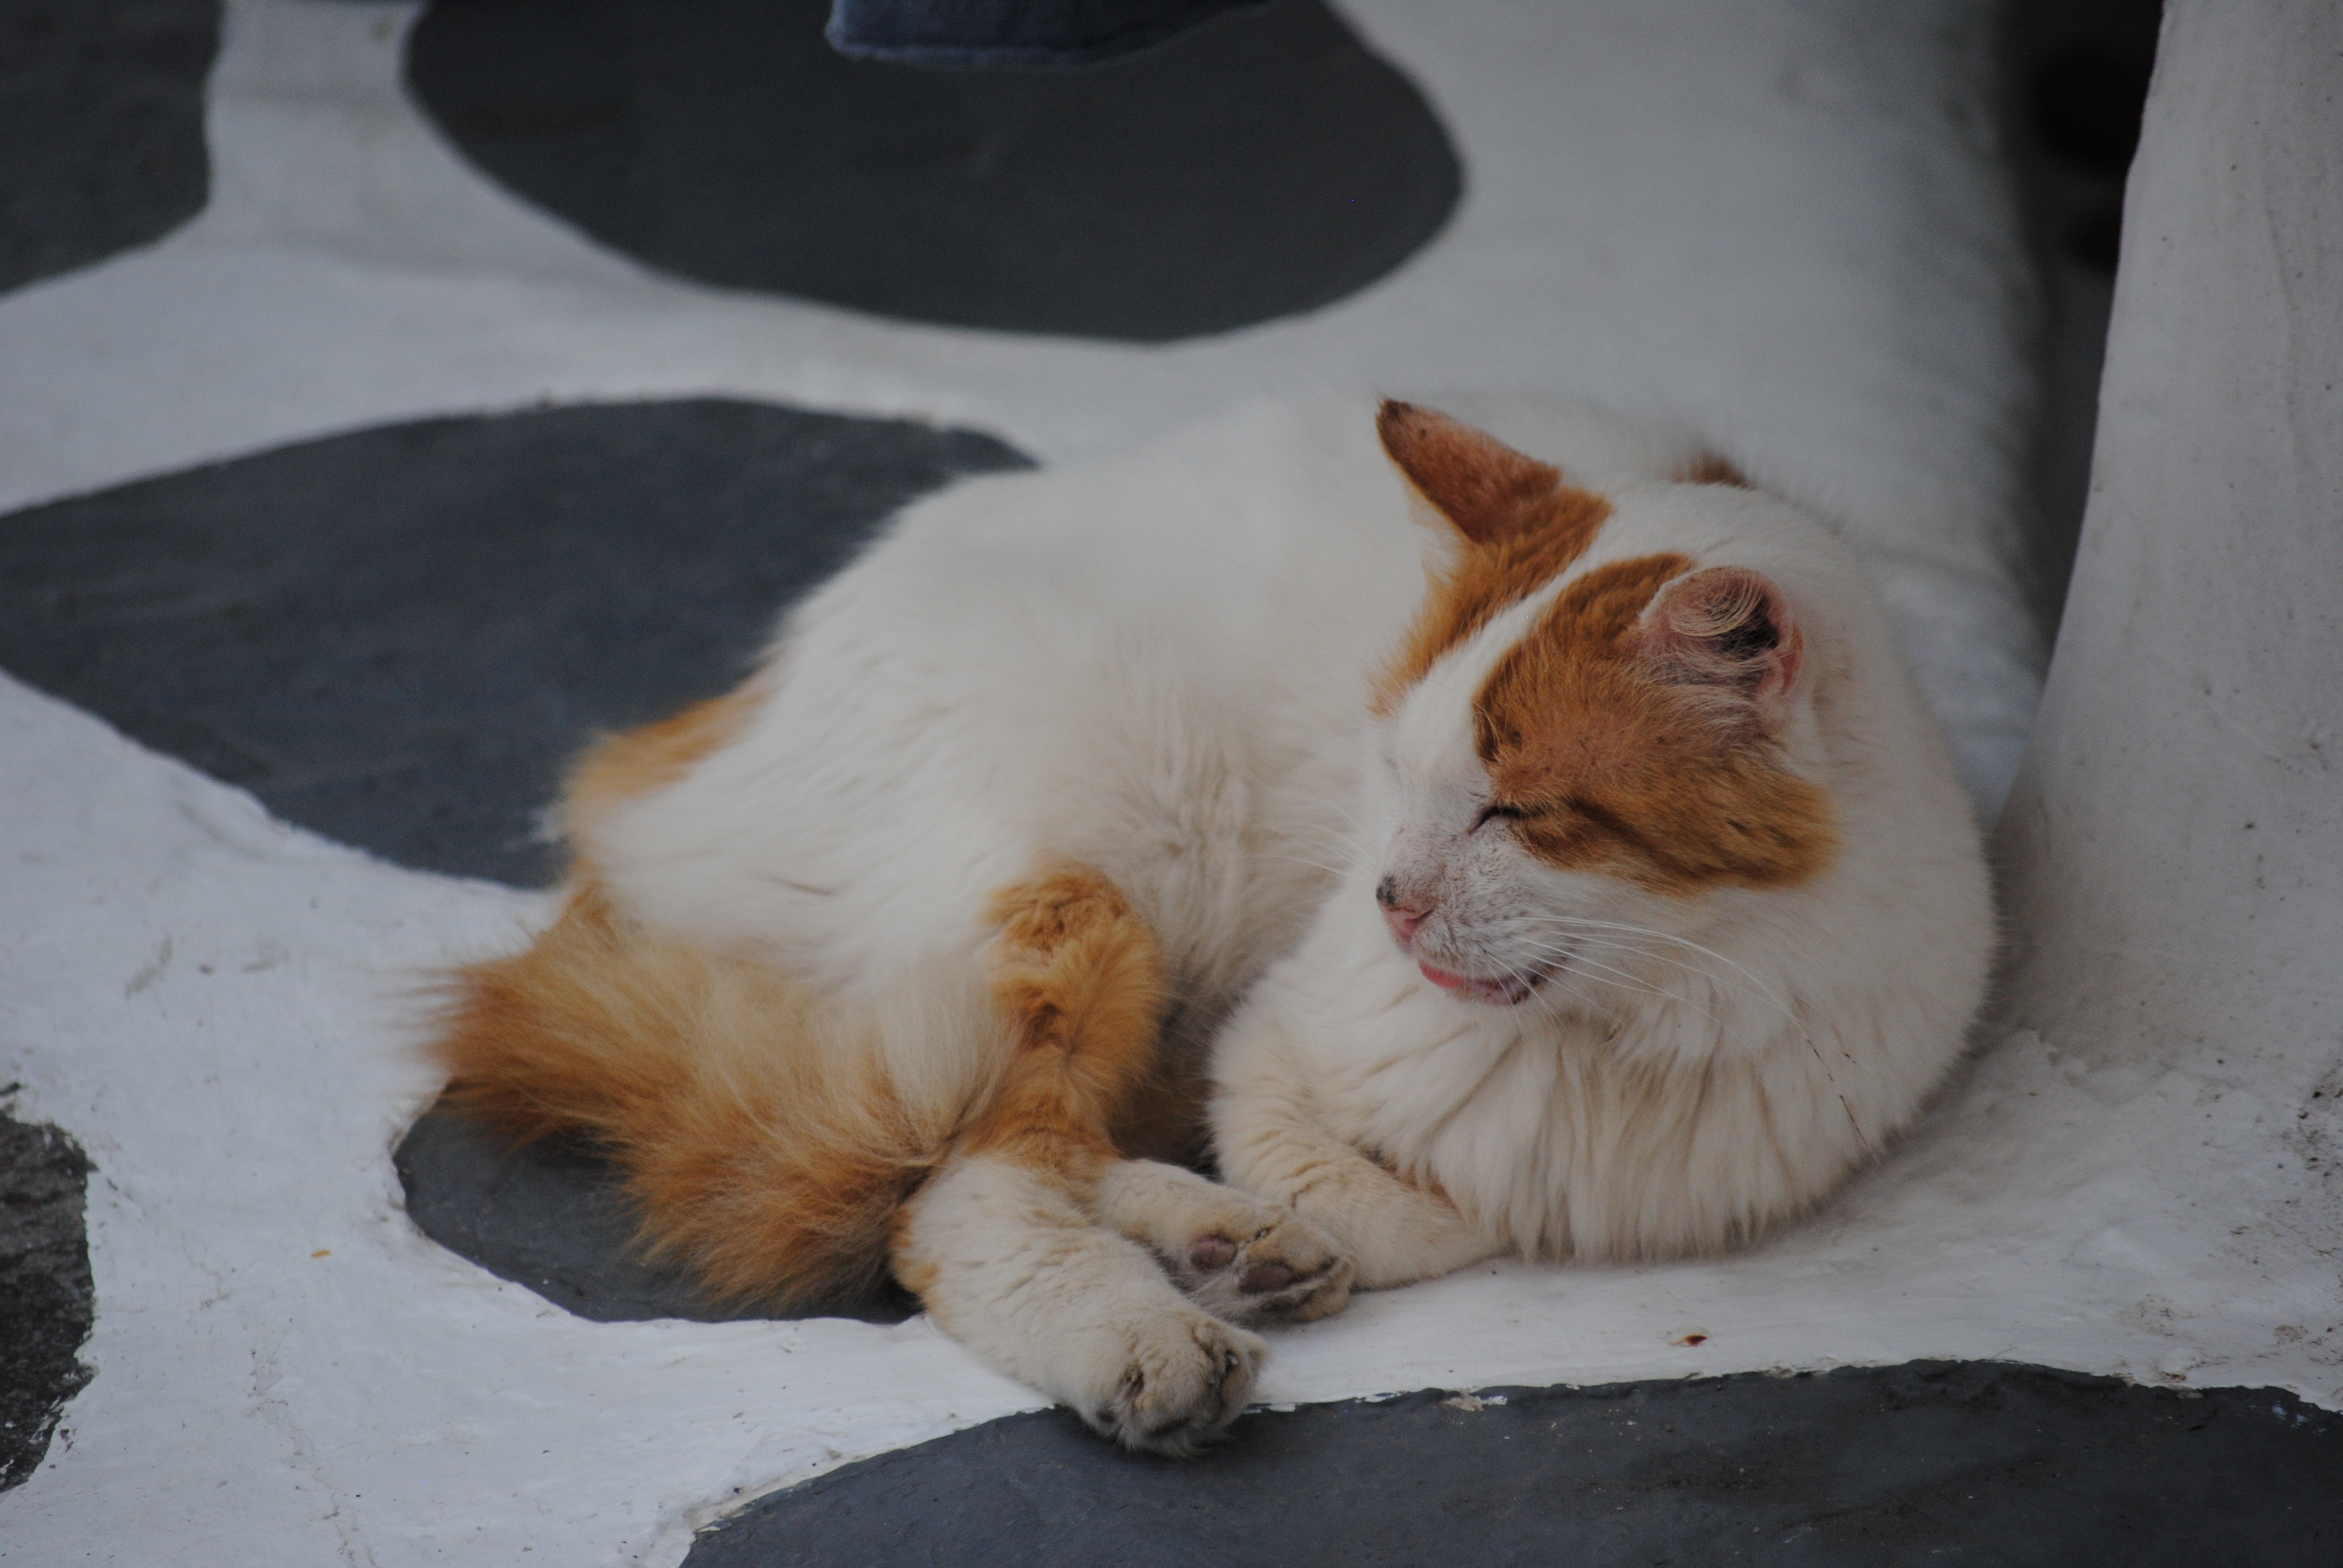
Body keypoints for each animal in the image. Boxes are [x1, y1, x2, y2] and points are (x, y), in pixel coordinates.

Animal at [431, 398, 1987, 1453]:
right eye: (1392, 774)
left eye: (1516, 814)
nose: (1388, 897)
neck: (1649, 1021)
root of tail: (684, 753)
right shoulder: (1274, 1035)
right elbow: (1402, 1202)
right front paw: (1311, 1220)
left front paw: (1266, 1232)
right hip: (1116, 875)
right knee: (956, 1178)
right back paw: (1163, 1326)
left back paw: (1223, 1249)